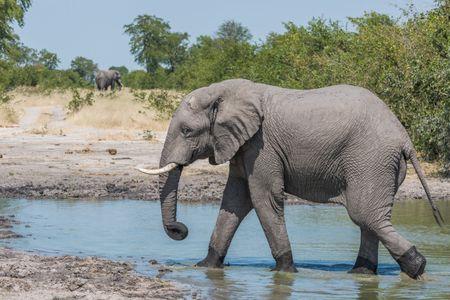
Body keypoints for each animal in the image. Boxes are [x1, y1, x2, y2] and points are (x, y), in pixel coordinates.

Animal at [136, 79, 442, 278]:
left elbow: (263, 198)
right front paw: (206, 266)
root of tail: (404, 137)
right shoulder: (244, 147)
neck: (224, 93)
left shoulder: (262, 146)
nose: (181, 229)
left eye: (187, 131)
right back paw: (362, 273)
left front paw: (284, 271)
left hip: (370, 159)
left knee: (364, 214)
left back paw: (417, 268)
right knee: (370, 218)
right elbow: (235, 200)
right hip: (379, 164)